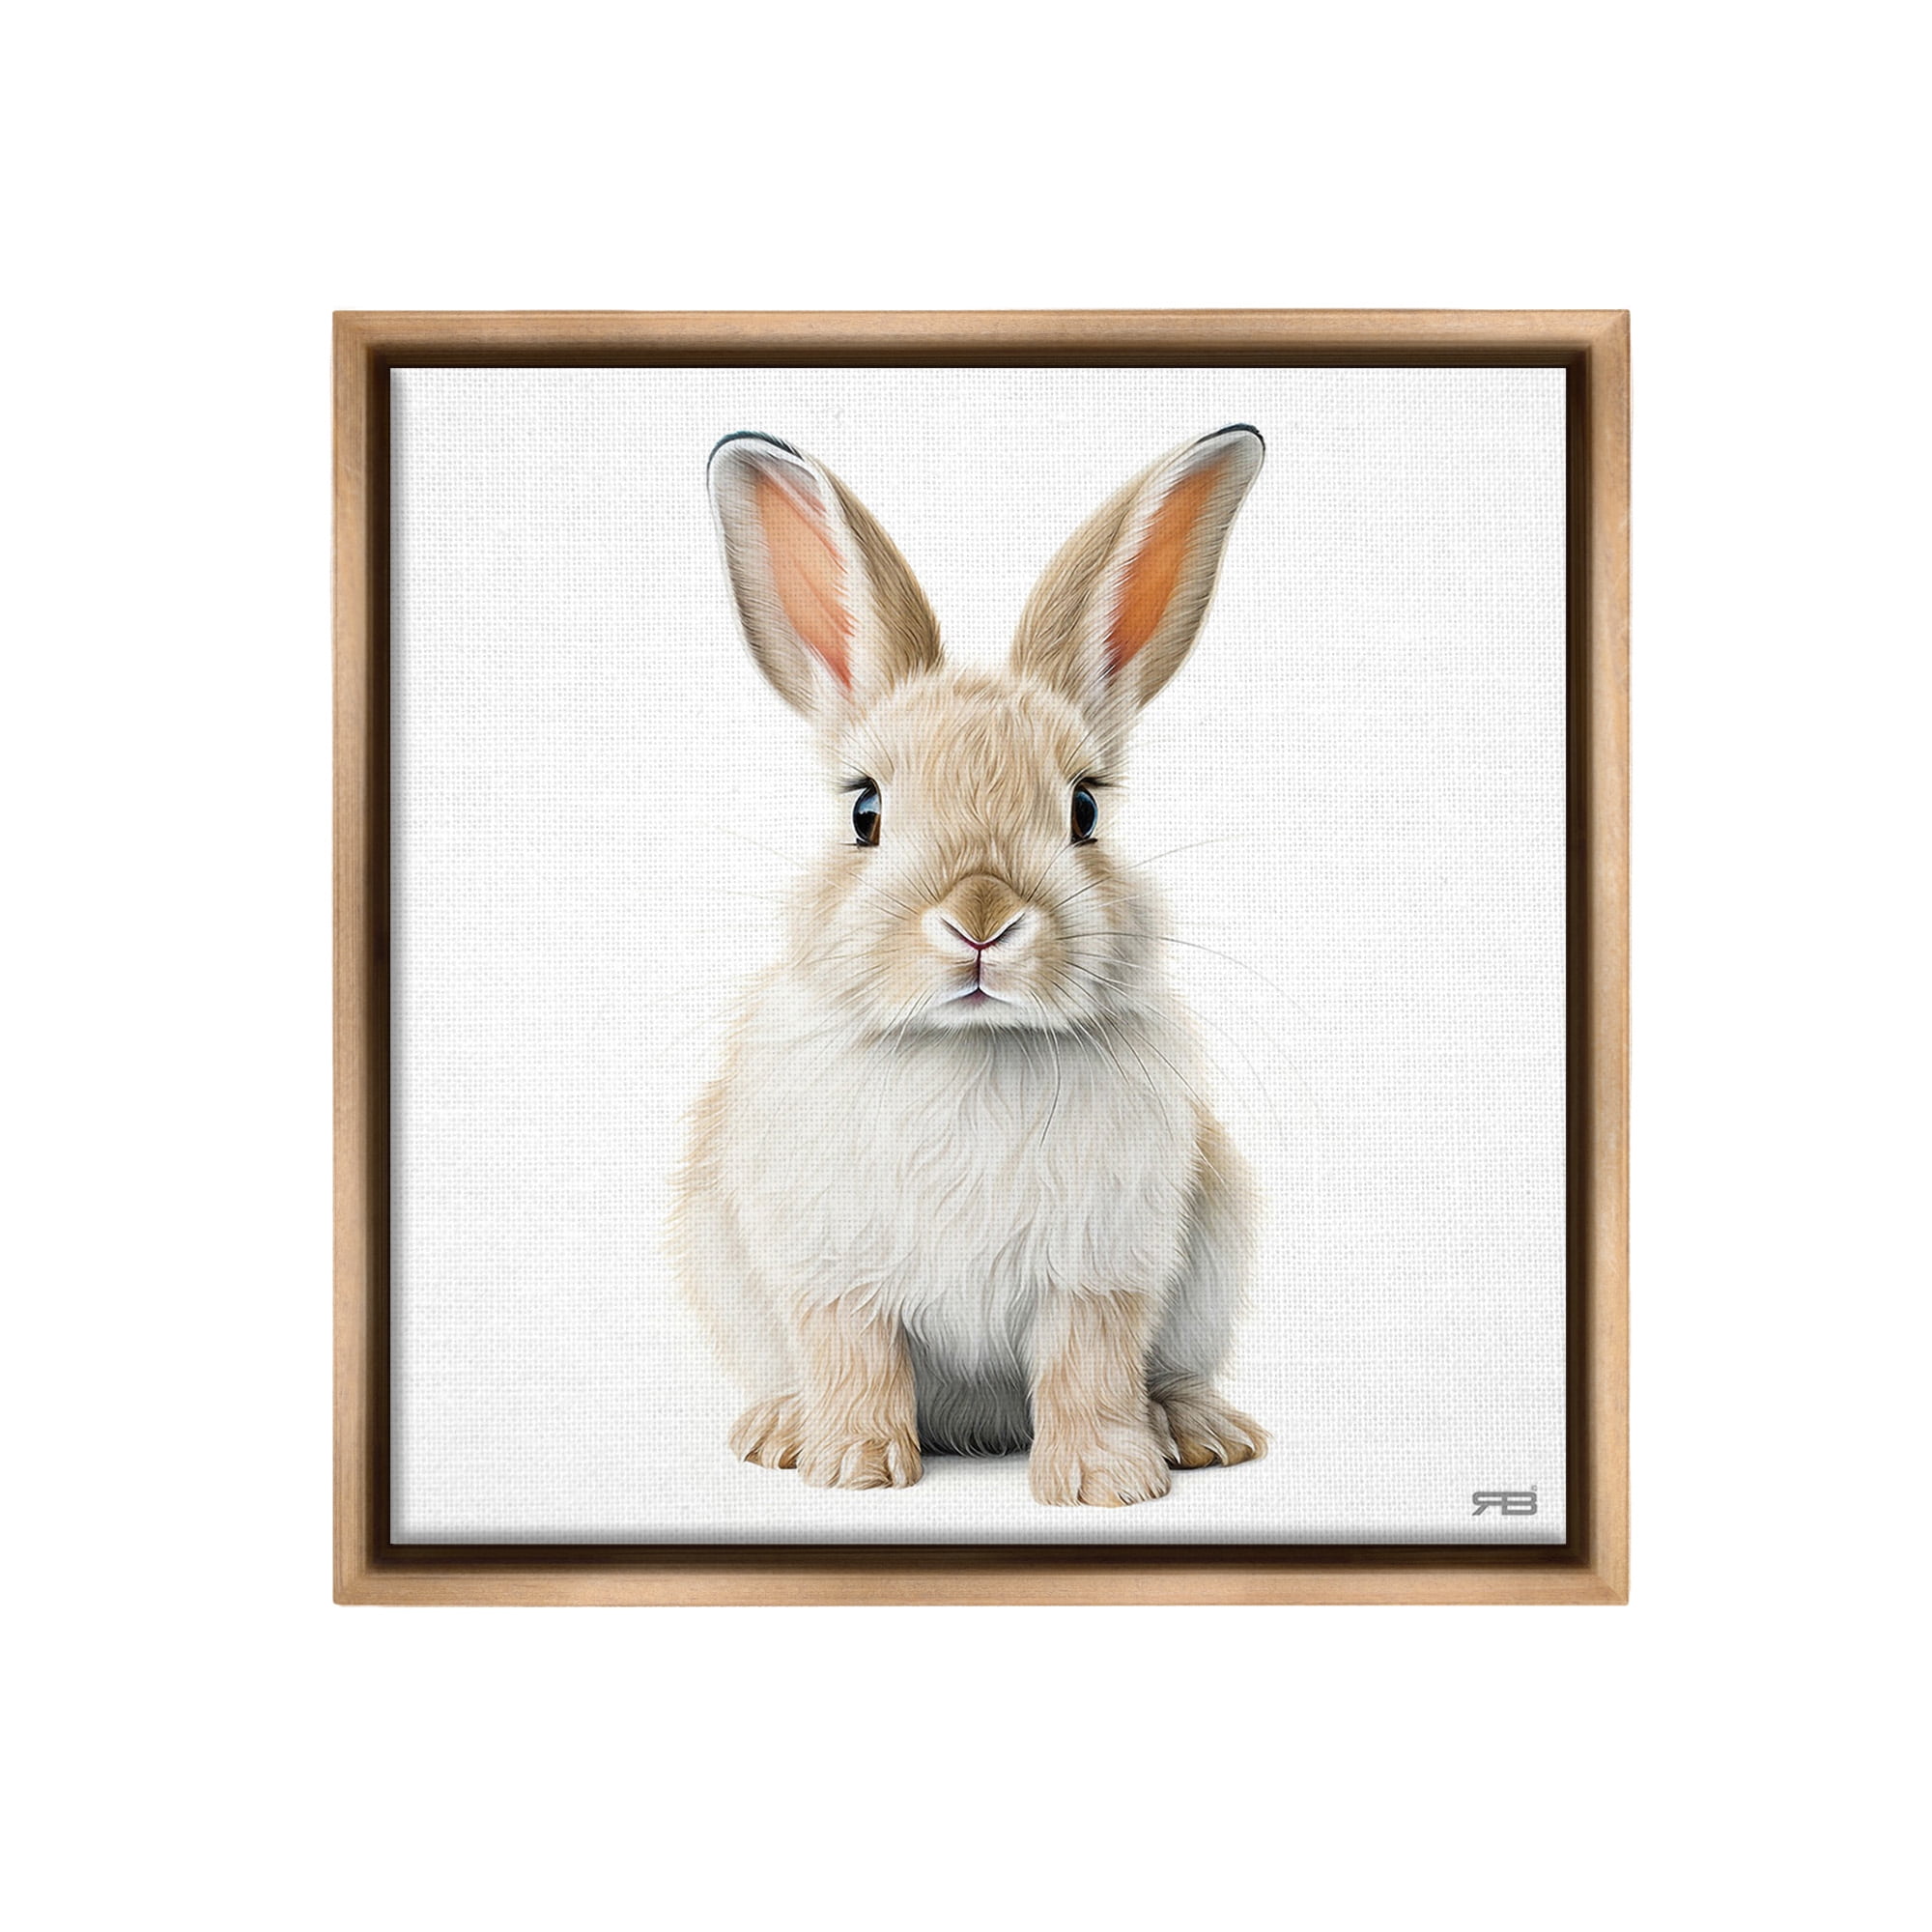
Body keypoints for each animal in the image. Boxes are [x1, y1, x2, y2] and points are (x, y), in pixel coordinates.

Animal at [670, 424, 1269, 1506]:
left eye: (1084, 809)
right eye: (864, 811)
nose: (980, 918)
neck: (972, 1043)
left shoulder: (1100, 1267)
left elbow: (1087, 1366)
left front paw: (1104, 1483)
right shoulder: (834, 1268)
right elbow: (855, 1357)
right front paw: (854, 1467)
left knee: (1165, 1372)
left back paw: (1195, 1430)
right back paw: (780, 1429)